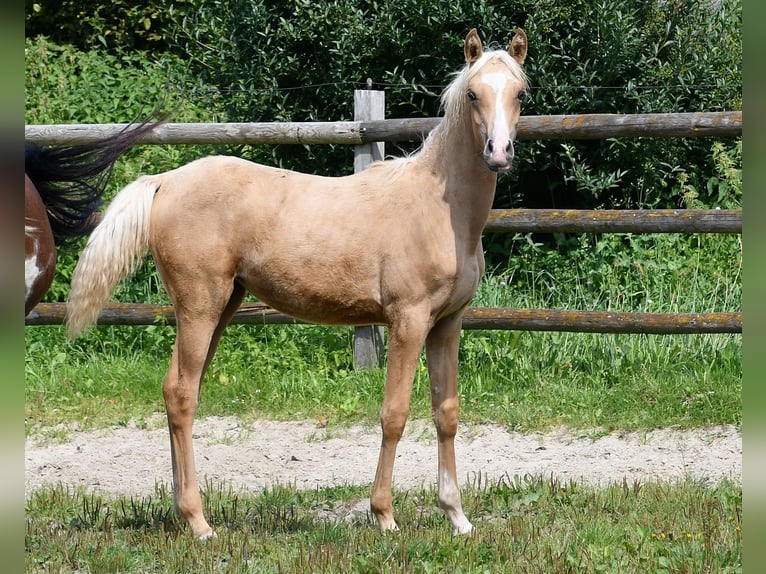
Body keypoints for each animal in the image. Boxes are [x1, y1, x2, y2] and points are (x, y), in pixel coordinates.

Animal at [67, 27, 528, 540]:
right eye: (472, 94)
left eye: (519, 93)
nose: (498, 153)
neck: (437, 207)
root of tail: (165, 181)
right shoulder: (407, 321)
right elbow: (394, 414)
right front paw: (384, 515)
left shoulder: (448, 323)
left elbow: (446, 413)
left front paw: (457, 517)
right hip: (200, 305)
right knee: (182, 395)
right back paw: (199, 522)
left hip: (223, 306)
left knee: (178, 391)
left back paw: (181, 512)